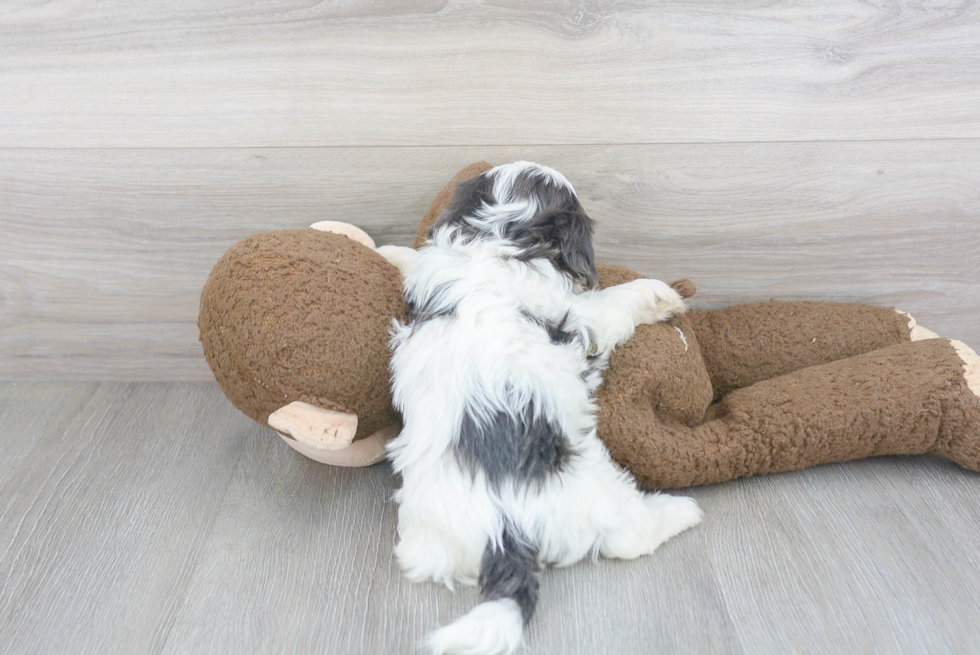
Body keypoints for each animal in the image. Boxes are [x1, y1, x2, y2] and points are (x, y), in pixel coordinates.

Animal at [378, 160, 704, 655]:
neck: (496, 243)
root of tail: (505, 530)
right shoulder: (583, 315)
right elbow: (612, 302)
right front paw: (658, 294)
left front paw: (392, 253)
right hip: (600, 495)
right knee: (630, 537)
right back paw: (681, 511)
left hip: (425, 543)